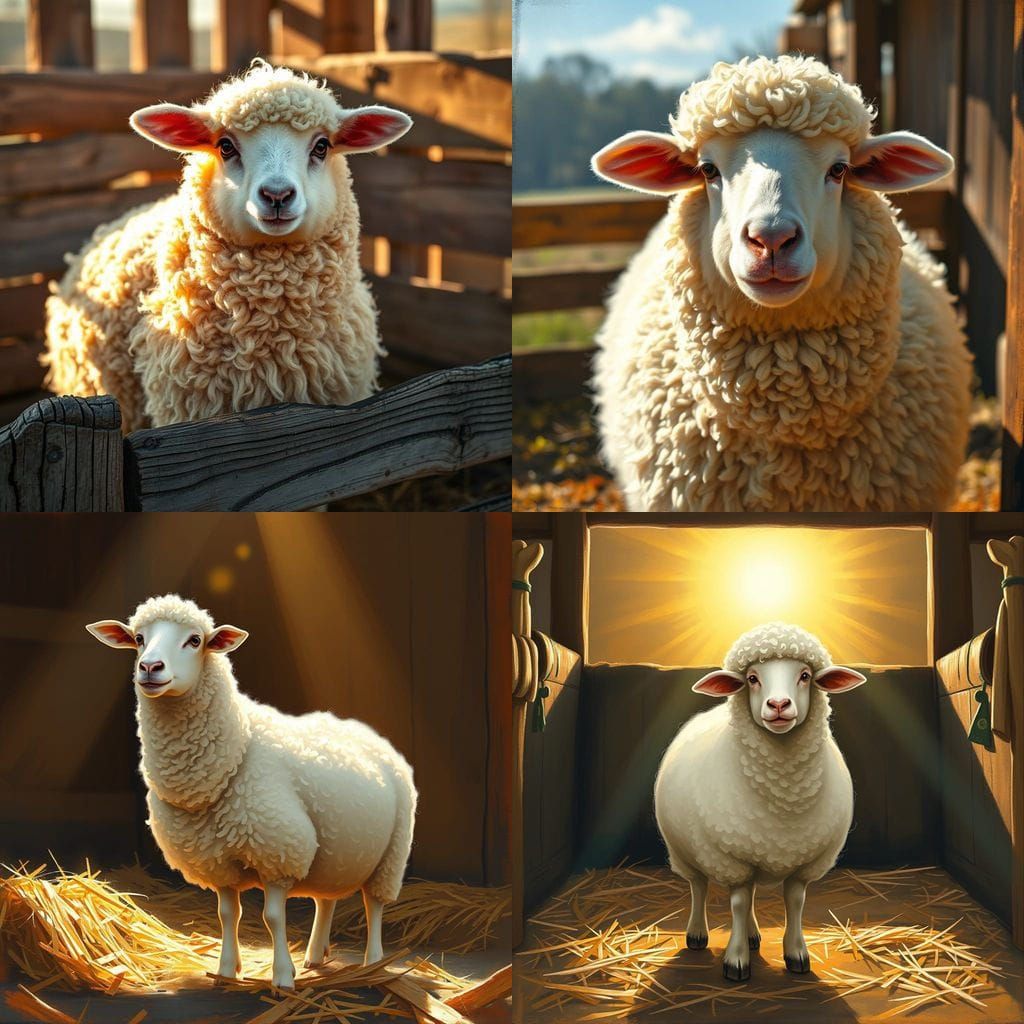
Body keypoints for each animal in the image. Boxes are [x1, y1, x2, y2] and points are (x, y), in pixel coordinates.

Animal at [87, 594, 416, 989]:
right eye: (138, 638)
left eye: (195, 640)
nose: (150, 667)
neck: (236, 747)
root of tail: (368, 732)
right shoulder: (217, 862)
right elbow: (228, 915)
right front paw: (226, 972)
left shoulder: (278, 851)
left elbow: (273, 918)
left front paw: (282, 978)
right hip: (333, 853)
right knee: (326, 901)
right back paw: (314, 956)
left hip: (391, 854)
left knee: (375, 905)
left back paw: (374, 964)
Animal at [654, 622, 865, 982]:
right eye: (752, 678)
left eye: (805, 675)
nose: (778, 704)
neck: (784, 798)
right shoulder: (732, 859)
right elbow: (737, 904)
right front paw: (736, 960)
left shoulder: (804, 863)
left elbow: (795, 902)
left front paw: (796, 954)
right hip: (687, 849)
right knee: (699, 887)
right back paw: (697, 934)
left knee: (750, 893)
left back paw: (753, 936)